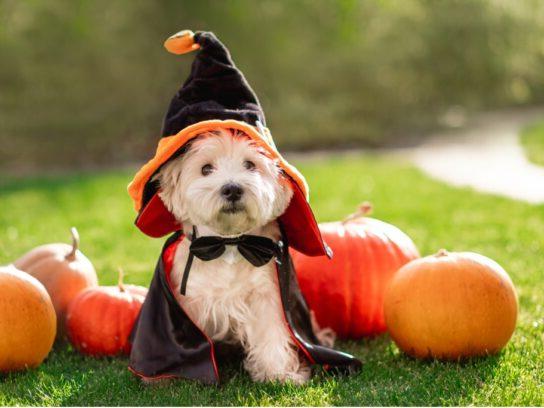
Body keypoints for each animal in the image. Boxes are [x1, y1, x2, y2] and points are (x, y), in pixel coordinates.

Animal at [153, 129, 334, 384]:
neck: (229, 243)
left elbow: (272, 335)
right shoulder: (190, 303)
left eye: (249, 164)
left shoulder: (266, 297)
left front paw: (278, 373)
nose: (232, 189)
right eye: (206, 169)